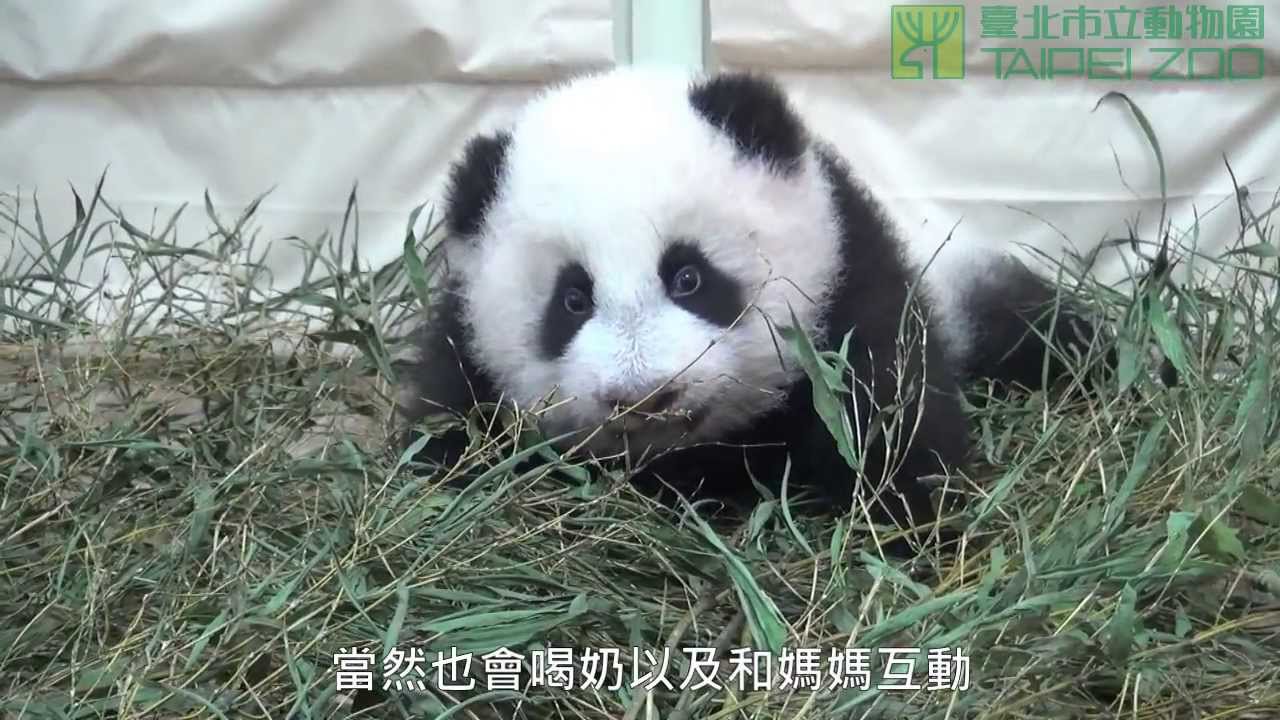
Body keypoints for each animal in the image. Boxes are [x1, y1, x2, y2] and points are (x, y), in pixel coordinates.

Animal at [397, 67, 1105, 547]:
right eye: (572, 299)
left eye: (688, 276)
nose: (647, 396)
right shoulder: (467, 339)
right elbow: (449, 429)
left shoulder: (848, 280)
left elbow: (888, 412)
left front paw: (909, 526)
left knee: (1040, 332)